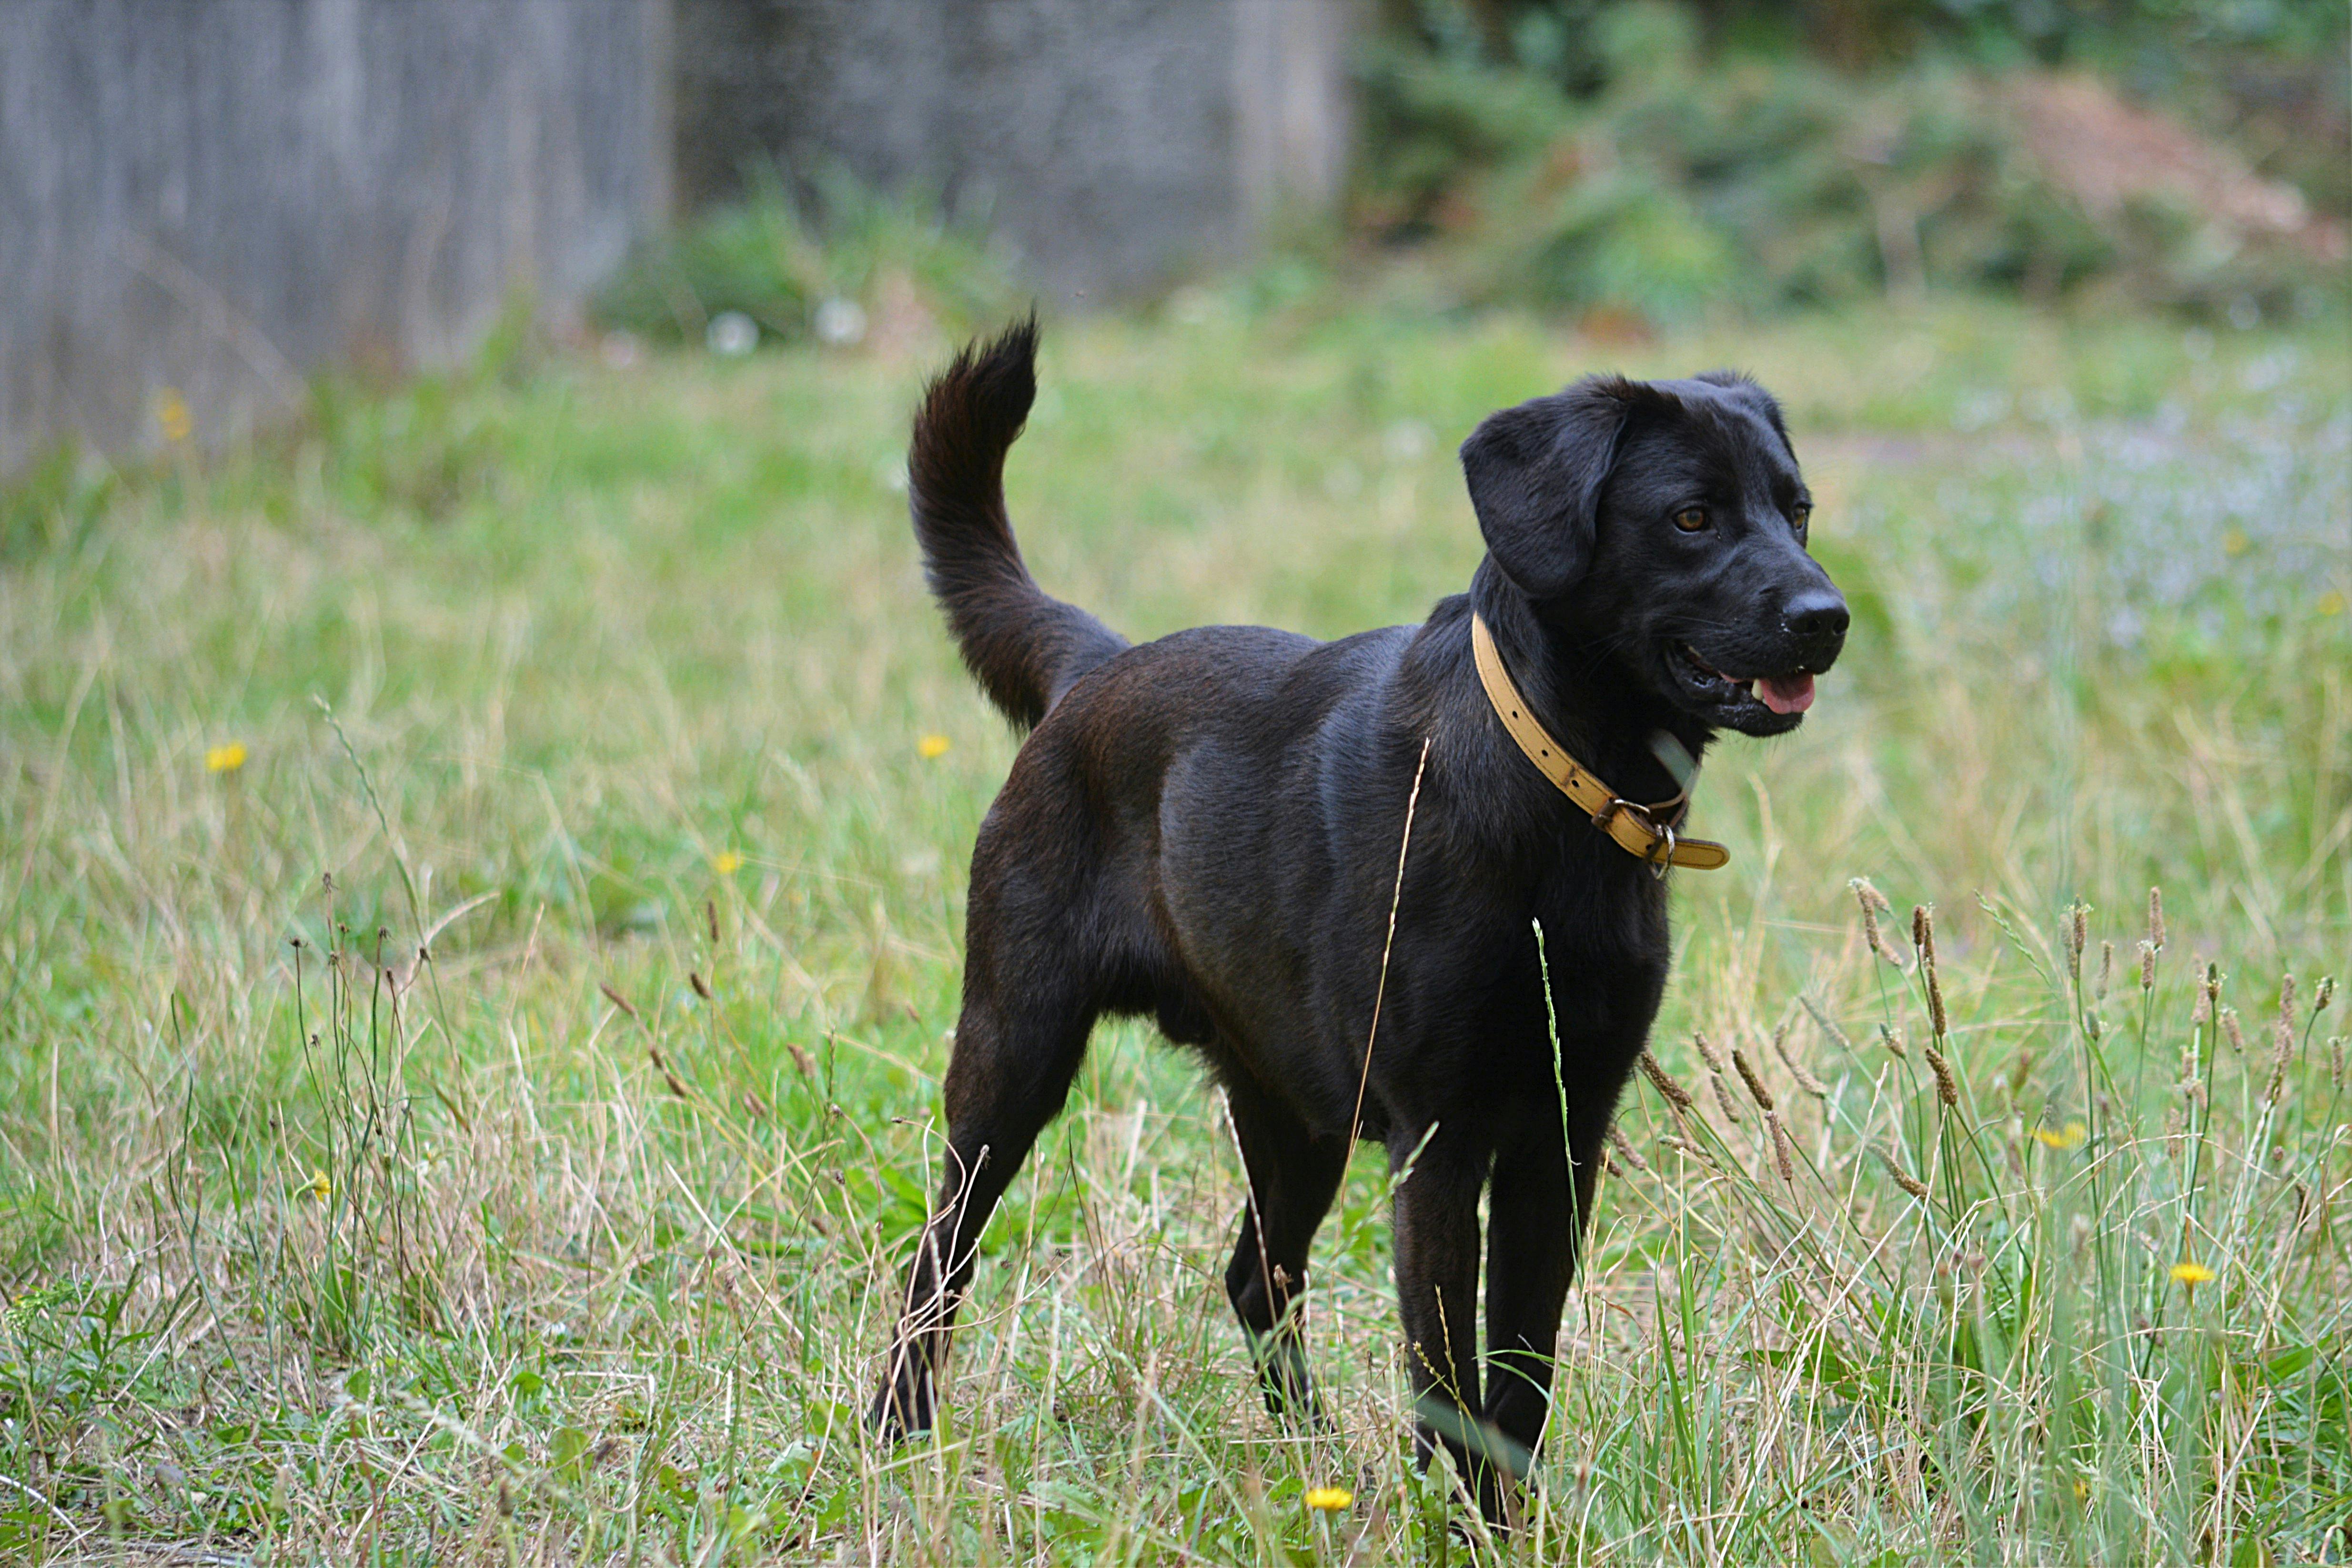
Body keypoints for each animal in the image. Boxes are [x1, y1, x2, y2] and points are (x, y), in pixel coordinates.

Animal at [875, 315, 1844, 1523]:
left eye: (1796, 509)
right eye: (1691, 517)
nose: (1826, 619)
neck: (1551, 778)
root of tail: (1094, 670)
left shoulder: (1562, 1134)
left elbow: (1520, 1369)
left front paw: (1506, 1518)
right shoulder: (1439, 1140)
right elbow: (1446, 1368)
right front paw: (1462, 1520)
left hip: (1291, 1113)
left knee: (1255, 1275)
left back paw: (1315, 1462)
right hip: (1013, 1056)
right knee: (937, 1257)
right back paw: (896, 1434)